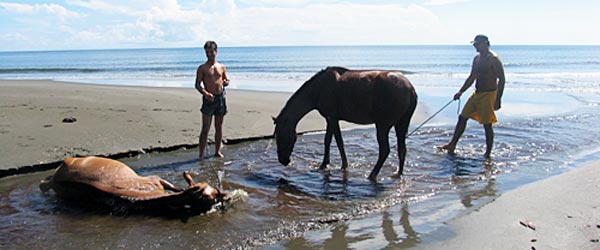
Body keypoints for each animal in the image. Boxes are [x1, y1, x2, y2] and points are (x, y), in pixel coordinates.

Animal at [274, 66, 418, 180]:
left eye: (281, 136)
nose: (283, 161)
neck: (319, 88)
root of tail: (410, 88)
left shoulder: (332, 118)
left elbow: (339, 142)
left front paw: (344, 165)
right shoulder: (330, 119)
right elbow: (327, 141)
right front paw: (324, 164)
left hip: (383, 125)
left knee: (385, 150)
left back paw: (372, 175)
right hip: (401, 124)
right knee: (402, 149)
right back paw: (399, 173)